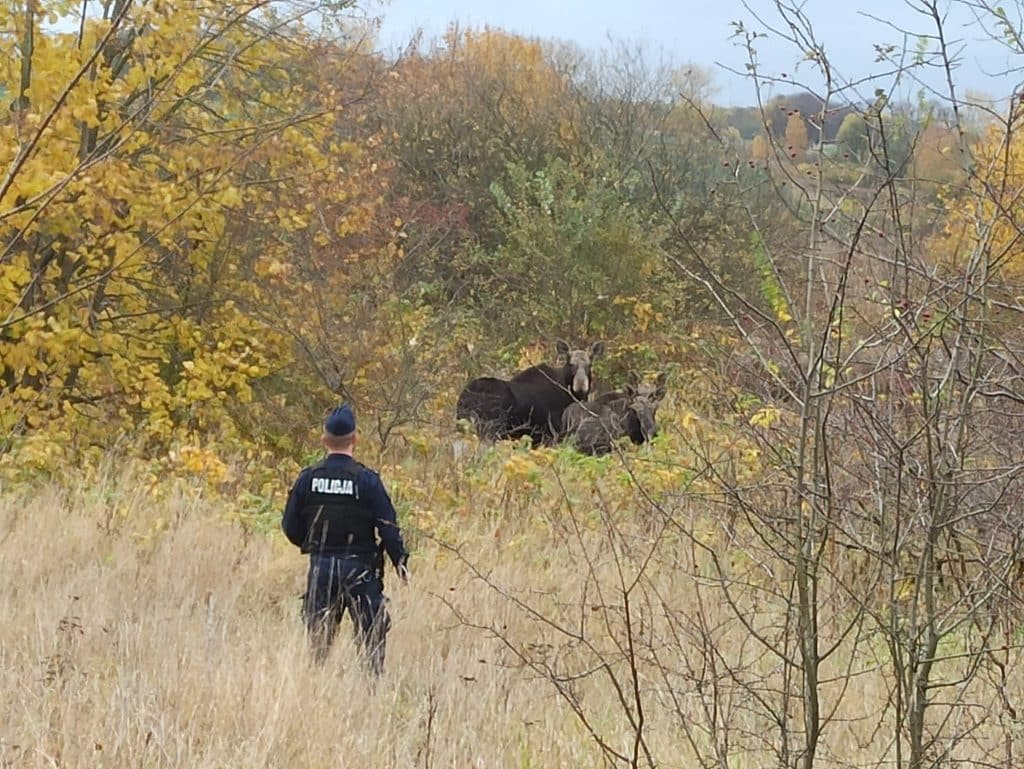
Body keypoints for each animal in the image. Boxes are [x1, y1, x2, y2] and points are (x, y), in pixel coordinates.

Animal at [454, 342, 598, 448]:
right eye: (571, 364)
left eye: (589, 364)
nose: (581, 385)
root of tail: (464, 398)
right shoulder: (550, 433)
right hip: (490, 429)